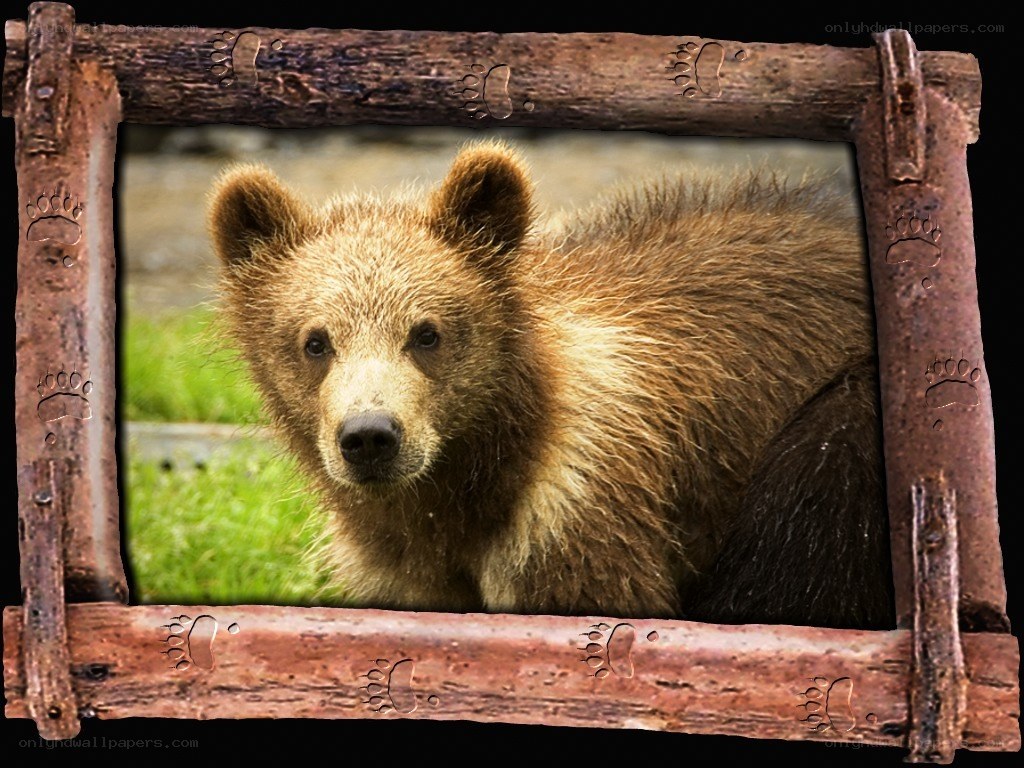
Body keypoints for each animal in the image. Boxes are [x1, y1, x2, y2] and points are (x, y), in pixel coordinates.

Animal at [209, 141, 894, 629]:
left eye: (426, 333)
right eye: (316, 340)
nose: (370, 436)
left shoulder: (577, 524)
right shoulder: (403, 563)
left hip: (837, 439)